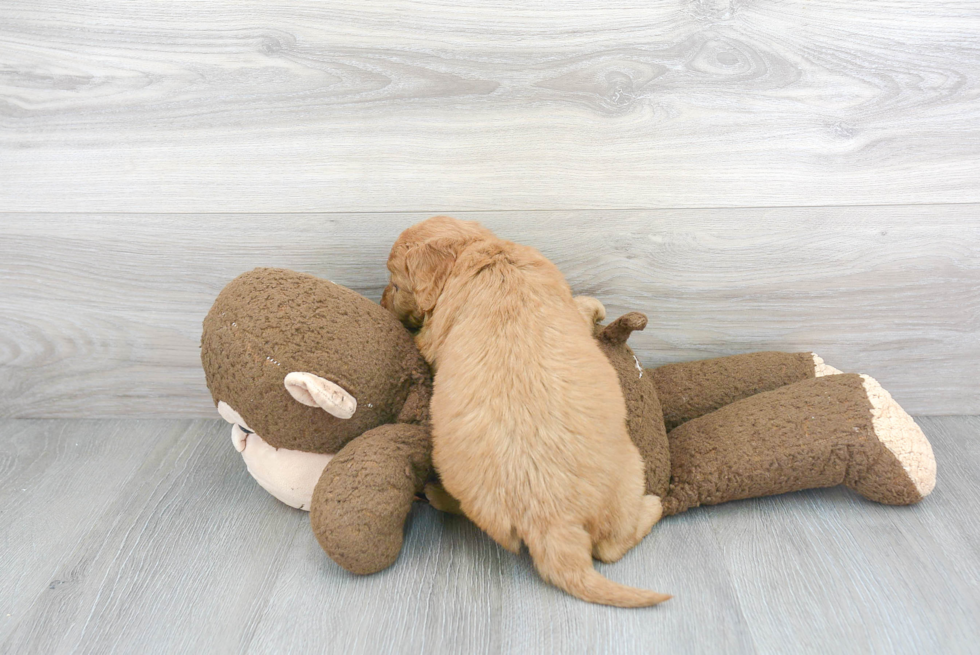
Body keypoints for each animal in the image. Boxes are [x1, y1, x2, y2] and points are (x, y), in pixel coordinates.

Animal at [380, 217, 668, 608]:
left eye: (396, 284)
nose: (381, 301)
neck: (479, 251)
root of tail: (553, 523)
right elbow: (582, 306)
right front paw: (596, 306)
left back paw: (435, 494)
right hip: (630, 472)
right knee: (610, 547)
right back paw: (654, 505)